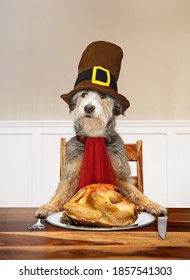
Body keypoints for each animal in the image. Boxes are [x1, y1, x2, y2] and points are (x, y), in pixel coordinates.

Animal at [35, 91, 166, 218]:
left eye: (103, 95)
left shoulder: (121, 177)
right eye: (83, 94)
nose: (88, 108)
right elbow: (61, 193)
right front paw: (49, 207)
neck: (94, 137)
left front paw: (153, 205)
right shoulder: (71, 176)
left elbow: (136, 193)